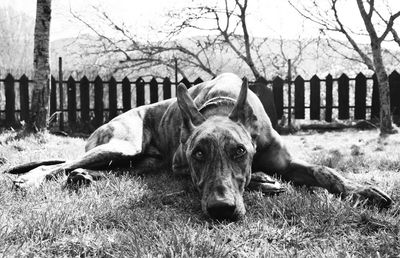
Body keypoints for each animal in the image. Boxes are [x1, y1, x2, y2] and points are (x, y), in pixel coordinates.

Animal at [8, 72, 394, 220]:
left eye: (240, 151)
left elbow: (325, 170)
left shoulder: (285, 162)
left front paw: (364, 191)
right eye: (198, 155)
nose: (222, 210)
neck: (224, 104)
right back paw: (30, 179)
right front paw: (261, 181)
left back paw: (84, 178)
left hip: (135, 161)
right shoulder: (178, 166)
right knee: (59, 164)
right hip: (122, 146)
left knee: (91, 169)